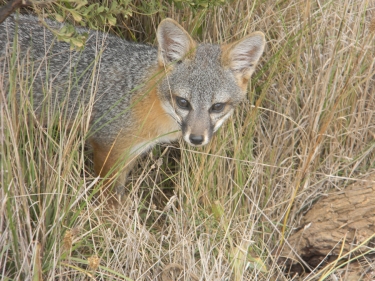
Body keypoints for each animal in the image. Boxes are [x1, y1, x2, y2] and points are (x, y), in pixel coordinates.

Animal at [0, 15, 266, 199]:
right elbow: (109, 199)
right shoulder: (106, 149)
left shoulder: (129, 154)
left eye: (217, 106)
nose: (197, 139)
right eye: (183, 102)